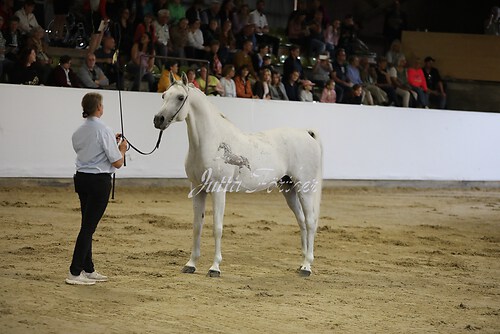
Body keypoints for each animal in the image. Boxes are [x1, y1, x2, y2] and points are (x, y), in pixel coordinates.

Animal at [154, 74, 322, 278]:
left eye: (180, 97)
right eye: (164, 95)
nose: (158, 119)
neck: (211, 141)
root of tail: (307, 133)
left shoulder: (218, 190)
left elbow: (217, 228)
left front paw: (214, 267)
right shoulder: (197, 189)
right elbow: (197, 227)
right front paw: (191, 264)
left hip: (305, 188)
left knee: (311, 222)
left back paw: (307, 266)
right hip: (288, 189)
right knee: (302, 222)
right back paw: (302, 262)